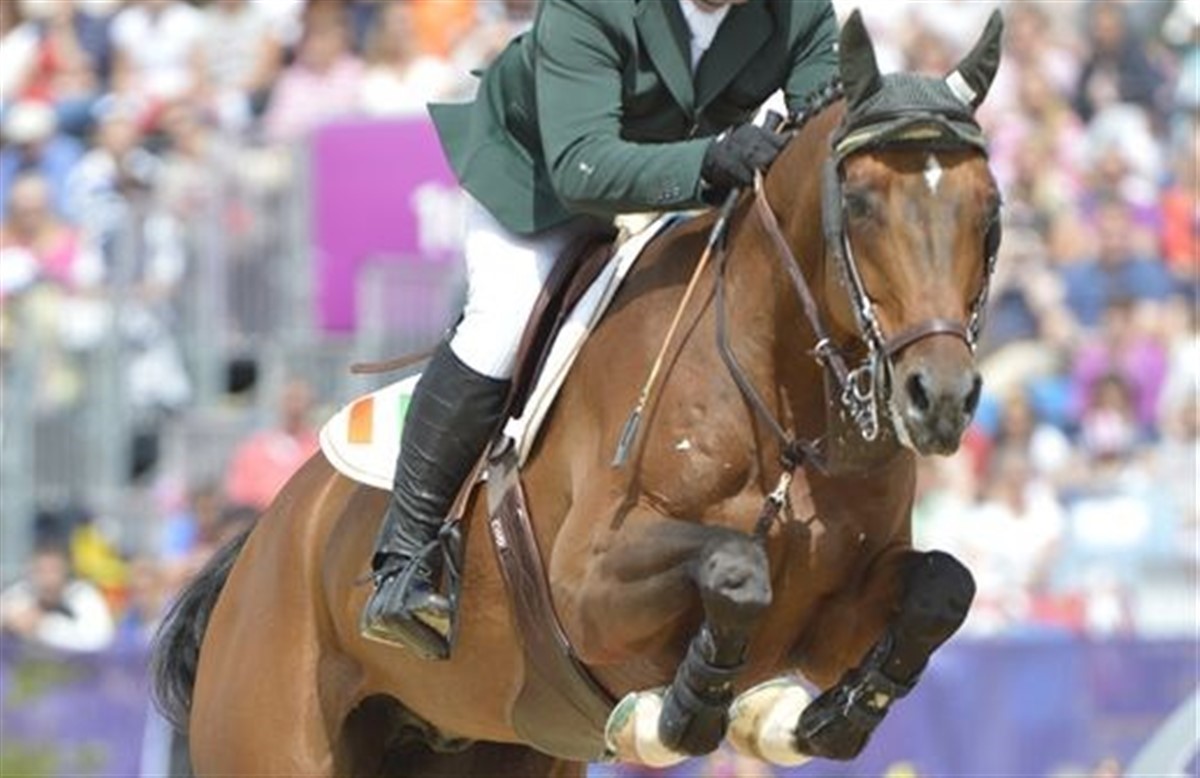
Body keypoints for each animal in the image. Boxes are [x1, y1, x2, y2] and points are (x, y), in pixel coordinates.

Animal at [153, 10, 1004, 776]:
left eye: (991, 212)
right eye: (858, 206)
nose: (938, 399)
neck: (786, 408)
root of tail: (265, 539)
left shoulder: (835, 615)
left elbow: (945, 587)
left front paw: (827, 716)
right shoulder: (587, 587)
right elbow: (735, 567)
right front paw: (684, 711)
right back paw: (406, 590)